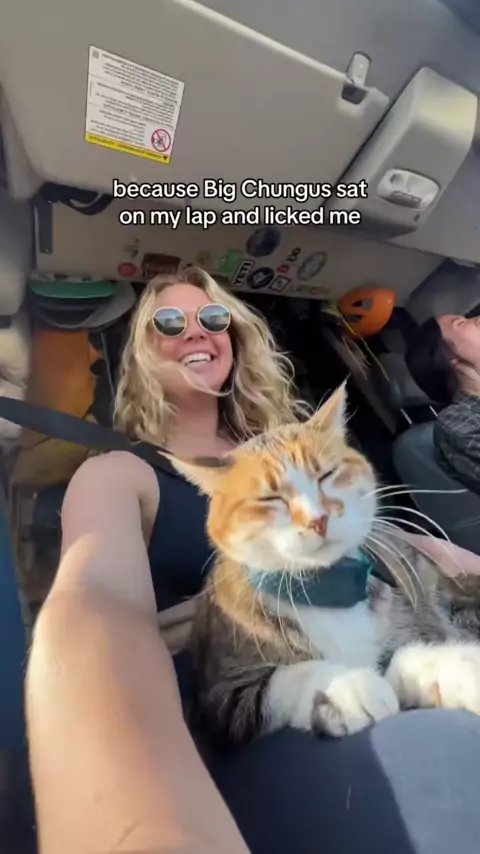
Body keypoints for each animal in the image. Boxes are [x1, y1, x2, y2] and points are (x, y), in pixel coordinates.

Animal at [168, 384, 480, 746]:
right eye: (269, 498)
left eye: (326, 474)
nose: (318, 519)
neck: (327, 588)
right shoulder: (215, 702)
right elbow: (278, 684)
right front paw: (349, 688)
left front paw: (454, 668)